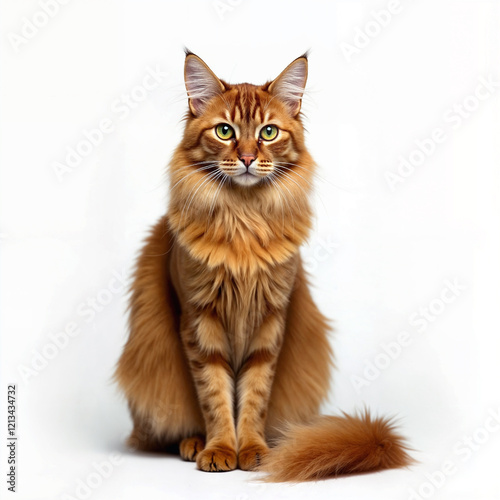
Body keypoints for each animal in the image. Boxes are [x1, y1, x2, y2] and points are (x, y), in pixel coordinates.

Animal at [113, 49, 410, 480]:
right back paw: (193, 443)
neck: (244, 221)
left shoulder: (270, 322)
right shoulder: (200, 321)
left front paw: (252, 449)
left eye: (268, 133)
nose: (249, 158)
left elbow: (254, 395)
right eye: (225, 131)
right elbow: (215, 396)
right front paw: (220, 448)